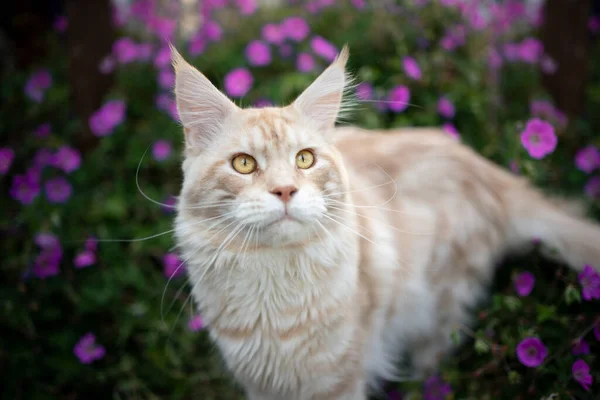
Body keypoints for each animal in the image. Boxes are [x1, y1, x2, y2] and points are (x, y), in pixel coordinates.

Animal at [170, 43, 600, 400]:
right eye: (244, 164)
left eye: (305, 159)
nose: (286, 190)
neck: (273, 283)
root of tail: (486, 170)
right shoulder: (261, 381)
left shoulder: (338, 381)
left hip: (438, 311)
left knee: (433, 370)